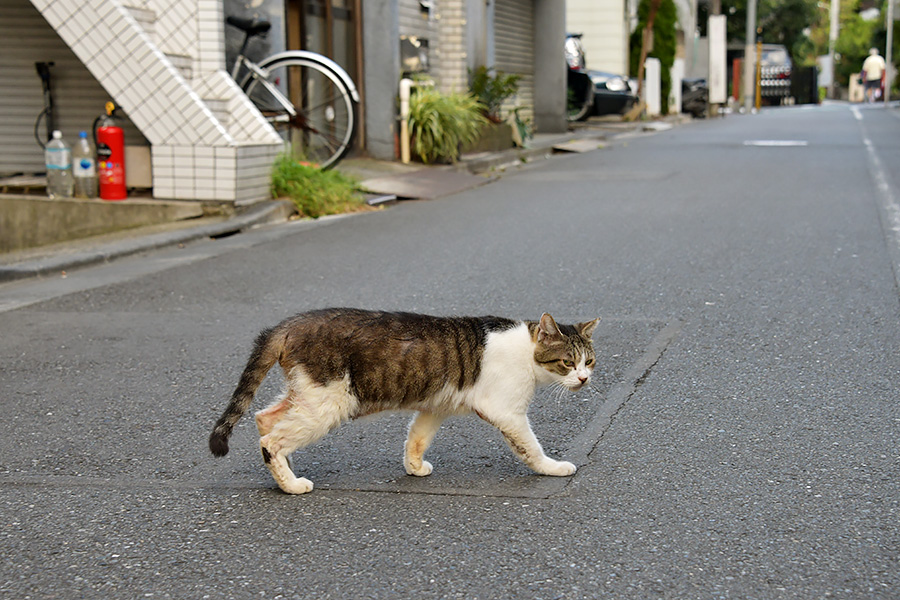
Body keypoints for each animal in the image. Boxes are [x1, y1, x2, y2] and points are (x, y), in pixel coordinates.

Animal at [209, 308, 596, 494]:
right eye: (567, 362)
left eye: (590, 361)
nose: (583, 379)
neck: (526, 349)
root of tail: (289, 324)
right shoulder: (508, 413)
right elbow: (530, 448)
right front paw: (553, 467)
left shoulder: (435, 406)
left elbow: (417, 438)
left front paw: (414, 467)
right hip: (327, 402)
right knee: (271, 440)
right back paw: (291, 485)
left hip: (307, 395)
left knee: (264, 417)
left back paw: (284, 473)